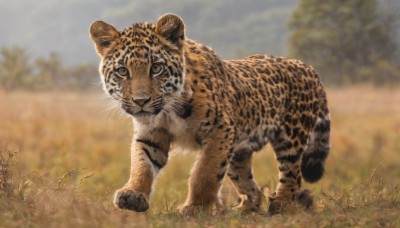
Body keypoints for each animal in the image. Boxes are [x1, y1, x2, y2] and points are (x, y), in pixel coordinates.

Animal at [89, 12, 330, 216]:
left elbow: (205, 172)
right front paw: (133, 195)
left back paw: (281, 205)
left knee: (293, 175)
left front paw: (194, 208)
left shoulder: (220, 130)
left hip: (291, 137)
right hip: (238, 152)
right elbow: (142, 165)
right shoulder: (151, 134)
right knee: (250, 185)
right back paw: (241, 209)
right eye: (122, 71)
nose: (141, 101)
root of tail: (308, 67)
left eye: (156, 68)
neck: (168, 110)